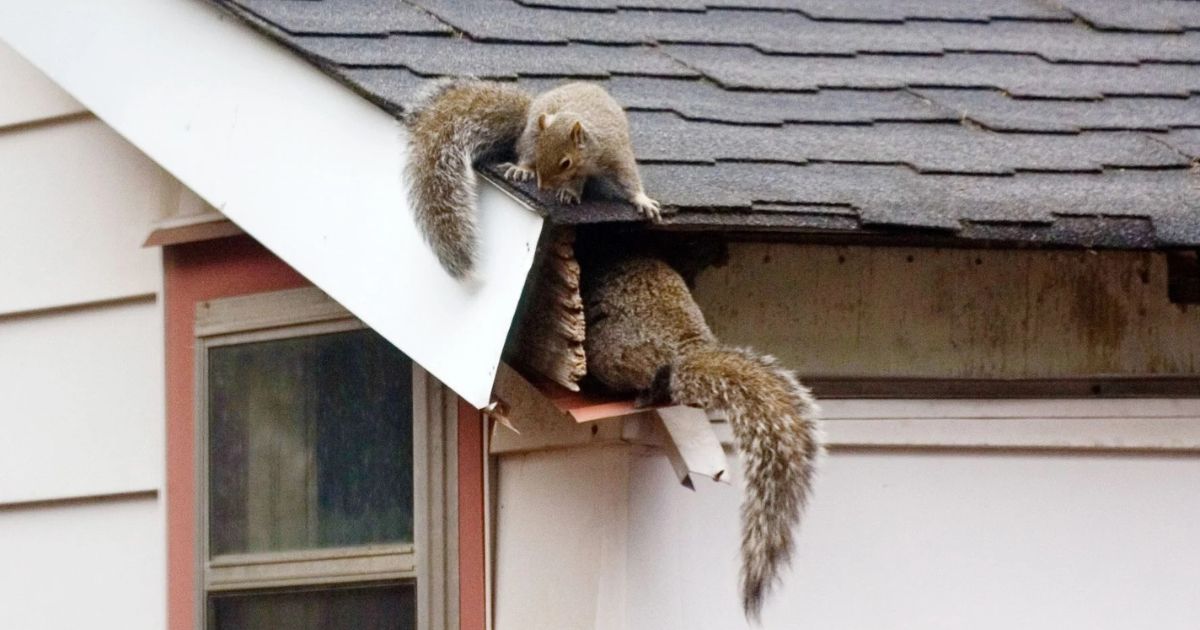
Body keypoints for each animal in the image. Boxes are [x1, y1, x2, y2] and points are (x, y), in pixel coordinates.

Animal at [405, 76, 667, 277]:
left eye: (565, 162)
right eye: (541, 152)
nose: (542, 186)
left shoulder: (615, 152)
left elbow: (628, 176)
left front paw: (642, 200)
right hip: (530, 132)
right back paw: (523, 169)